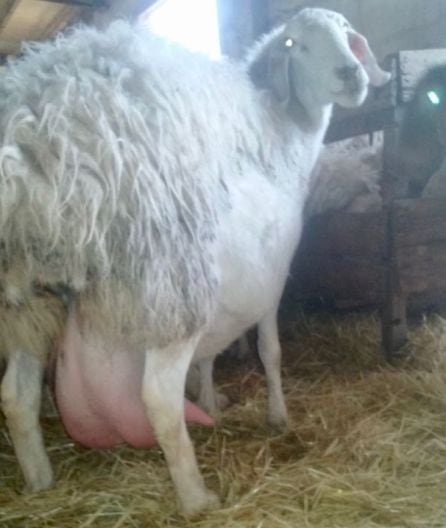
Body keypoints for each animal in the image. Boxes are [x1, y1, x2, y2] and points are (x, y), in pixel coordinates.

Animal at [0, 7, 386, 512]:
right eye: (295, 44)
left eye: (346, 35)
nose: (351, 74)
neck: (282, 129)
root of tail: (29, 132)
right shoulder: (271, 280)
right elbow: (270, 351)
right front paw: (277, 415)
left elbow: (212, 355)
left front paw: (210, 401)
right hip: (170, 280)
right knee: (158, 399)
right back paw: (196, 497)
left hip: (28, 299)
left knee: (16, 395)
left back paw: (39, 481)